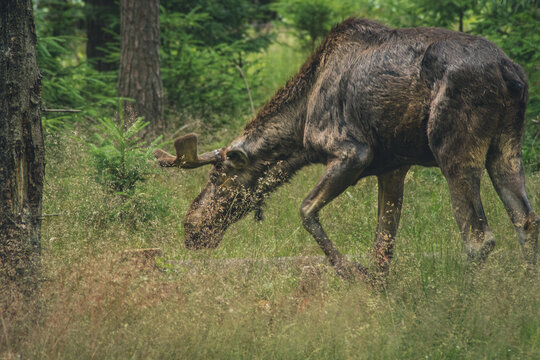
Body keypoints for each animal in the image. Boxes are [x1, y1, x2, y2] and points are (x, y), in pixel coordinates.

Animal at [154, 18, 536, 280]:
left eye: (217, 176)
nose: (191, 228)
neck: (300, 123)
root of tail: (511, 74)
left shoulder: (352, 153)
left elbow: (306, 211)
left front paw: (351, 273)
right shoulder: (394, 167)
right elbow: (383, 247)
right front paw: (377, 290)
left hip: (454, 147)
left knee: (478, 238)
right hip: (506, 145)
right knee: (527, 221)